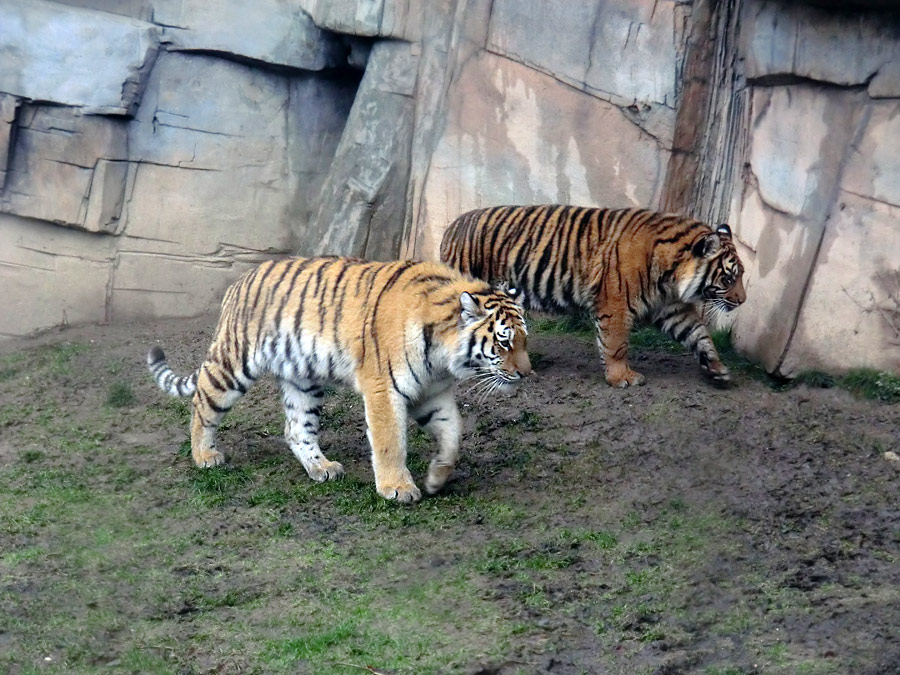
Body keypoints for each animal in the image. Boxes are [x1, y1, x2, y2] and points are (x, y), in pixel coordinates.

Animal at [144, 256, 532, 504]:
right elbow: (390, 442)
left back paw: (322, 468)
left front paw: (437, 478)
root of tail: (237, 284)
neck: (441, 357)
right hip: (233, 365)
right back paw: (204, 456)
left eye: (524, 339)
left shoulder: (432, 393)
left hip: (303, 380)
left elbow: (453, 434)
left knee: (296, 429)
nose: (527, 373)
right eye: (503, 341)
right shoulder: (384, 387)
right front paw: (397, 488)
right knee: (202, 402)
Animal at [442, 203, 744, 388]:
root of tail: (452, 226)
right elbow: (616, 343)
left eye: (740, 275)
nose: (742, 300)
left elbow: (699, 334)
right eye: (729, 278)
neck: (672, 273)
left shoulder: (670, 307)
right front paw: (622, 378)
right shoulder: (616, 303)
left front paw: (717, 368)